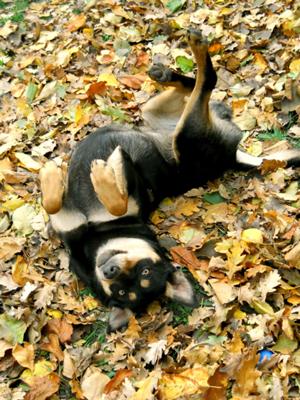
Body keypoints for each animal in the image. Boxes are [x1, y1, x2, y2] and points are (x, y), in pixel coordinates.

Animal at [39, 30, 300, 332]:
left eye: (144, 272)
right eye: (118, 290)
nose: (109, 271)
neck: (97, 237)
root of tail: (231, 157)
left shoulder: (137, 186)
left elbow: (118, 201)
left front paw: (102, 175)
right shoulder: (68, 224)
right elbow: (53, 204)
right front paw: (51, 175)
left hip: (186, 135)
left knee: (208, 82)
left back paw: (195, 49)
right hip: (156, 114)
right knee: (195, 91)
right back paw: (166, 73)